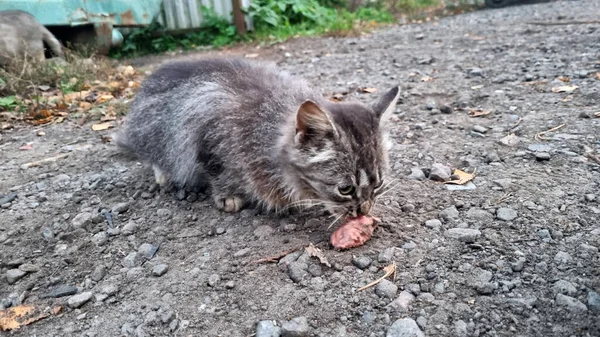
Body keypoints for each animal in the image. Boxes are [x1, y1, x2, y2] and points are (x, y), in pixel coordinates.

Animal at [115, 57, 400, 218]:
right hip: (155, 130)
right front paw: (227, 195)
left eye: (378, 184)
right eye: (345, 189)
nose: (365, 211)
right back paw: (163, 173)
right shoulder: (205, 132)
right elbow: (217, 172)